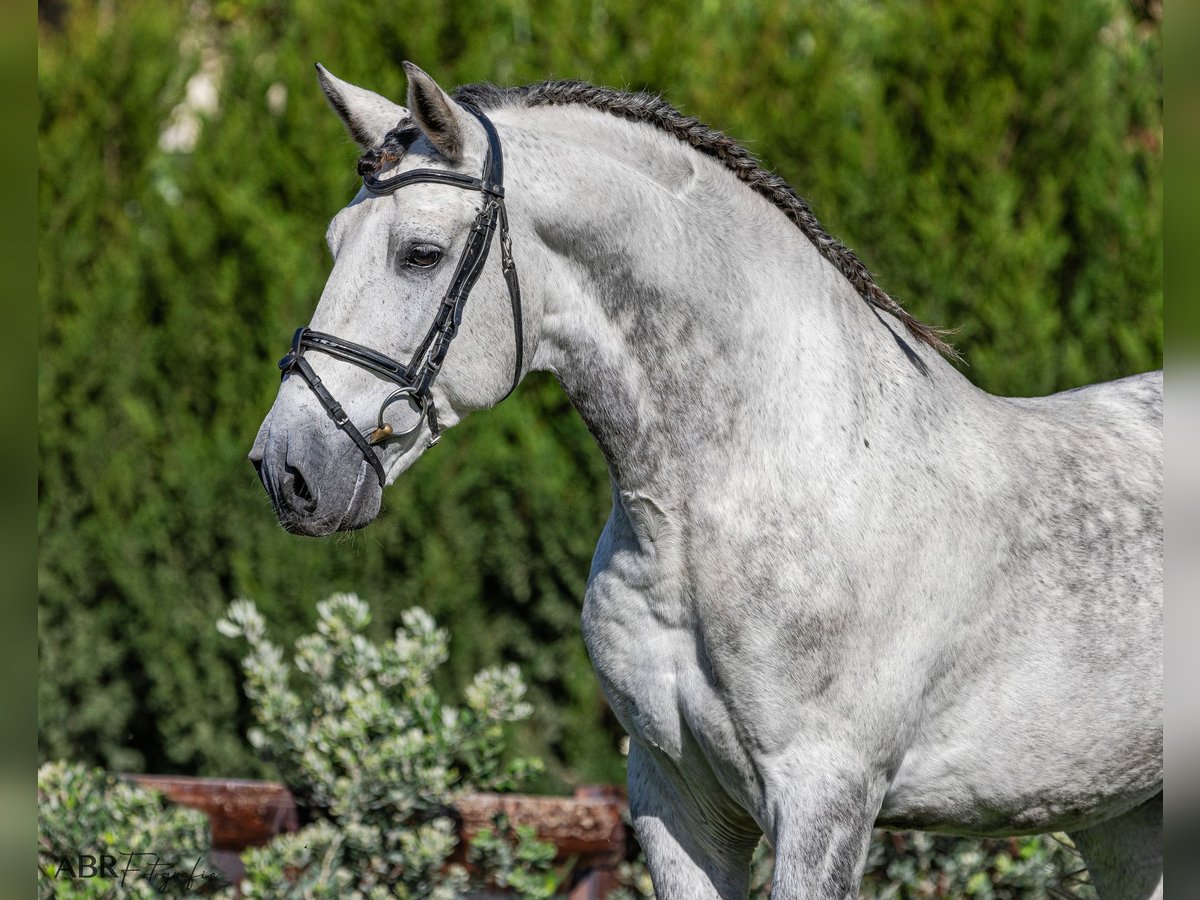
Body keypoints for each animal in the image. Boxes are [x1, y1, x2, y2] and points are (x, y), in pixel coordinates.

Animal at [253, 65, 1161, 900]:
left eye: (421, 254)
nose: (288, 469)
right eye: (334, 241)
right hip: (1123, 820)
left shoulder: (825, 801)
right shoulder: (673, 801)